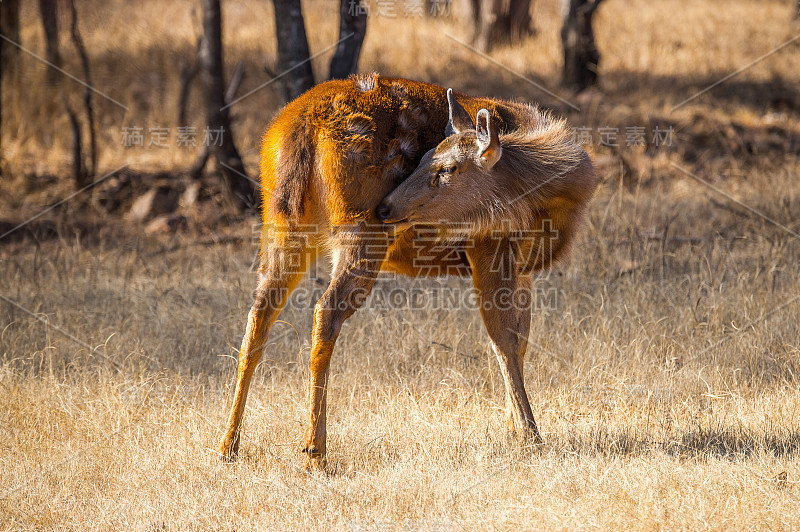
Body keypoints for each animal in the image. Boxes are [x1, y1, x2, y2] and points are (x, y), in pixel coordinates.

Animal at [216, 72, 596, 468]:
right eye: (427, 159)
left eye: (446, 167)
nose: (387, 207)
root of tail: (300, 129)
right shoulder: (489, 242)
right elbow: (503, 339)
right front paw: (529, 434)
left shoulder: (523, 266)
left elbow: (520, 340)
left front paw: (513, 428)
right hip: (358, 227)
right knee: (325, 311)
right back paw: (315, 451)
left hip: (281, 221)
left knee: (259, 314)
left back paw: (228, 445)